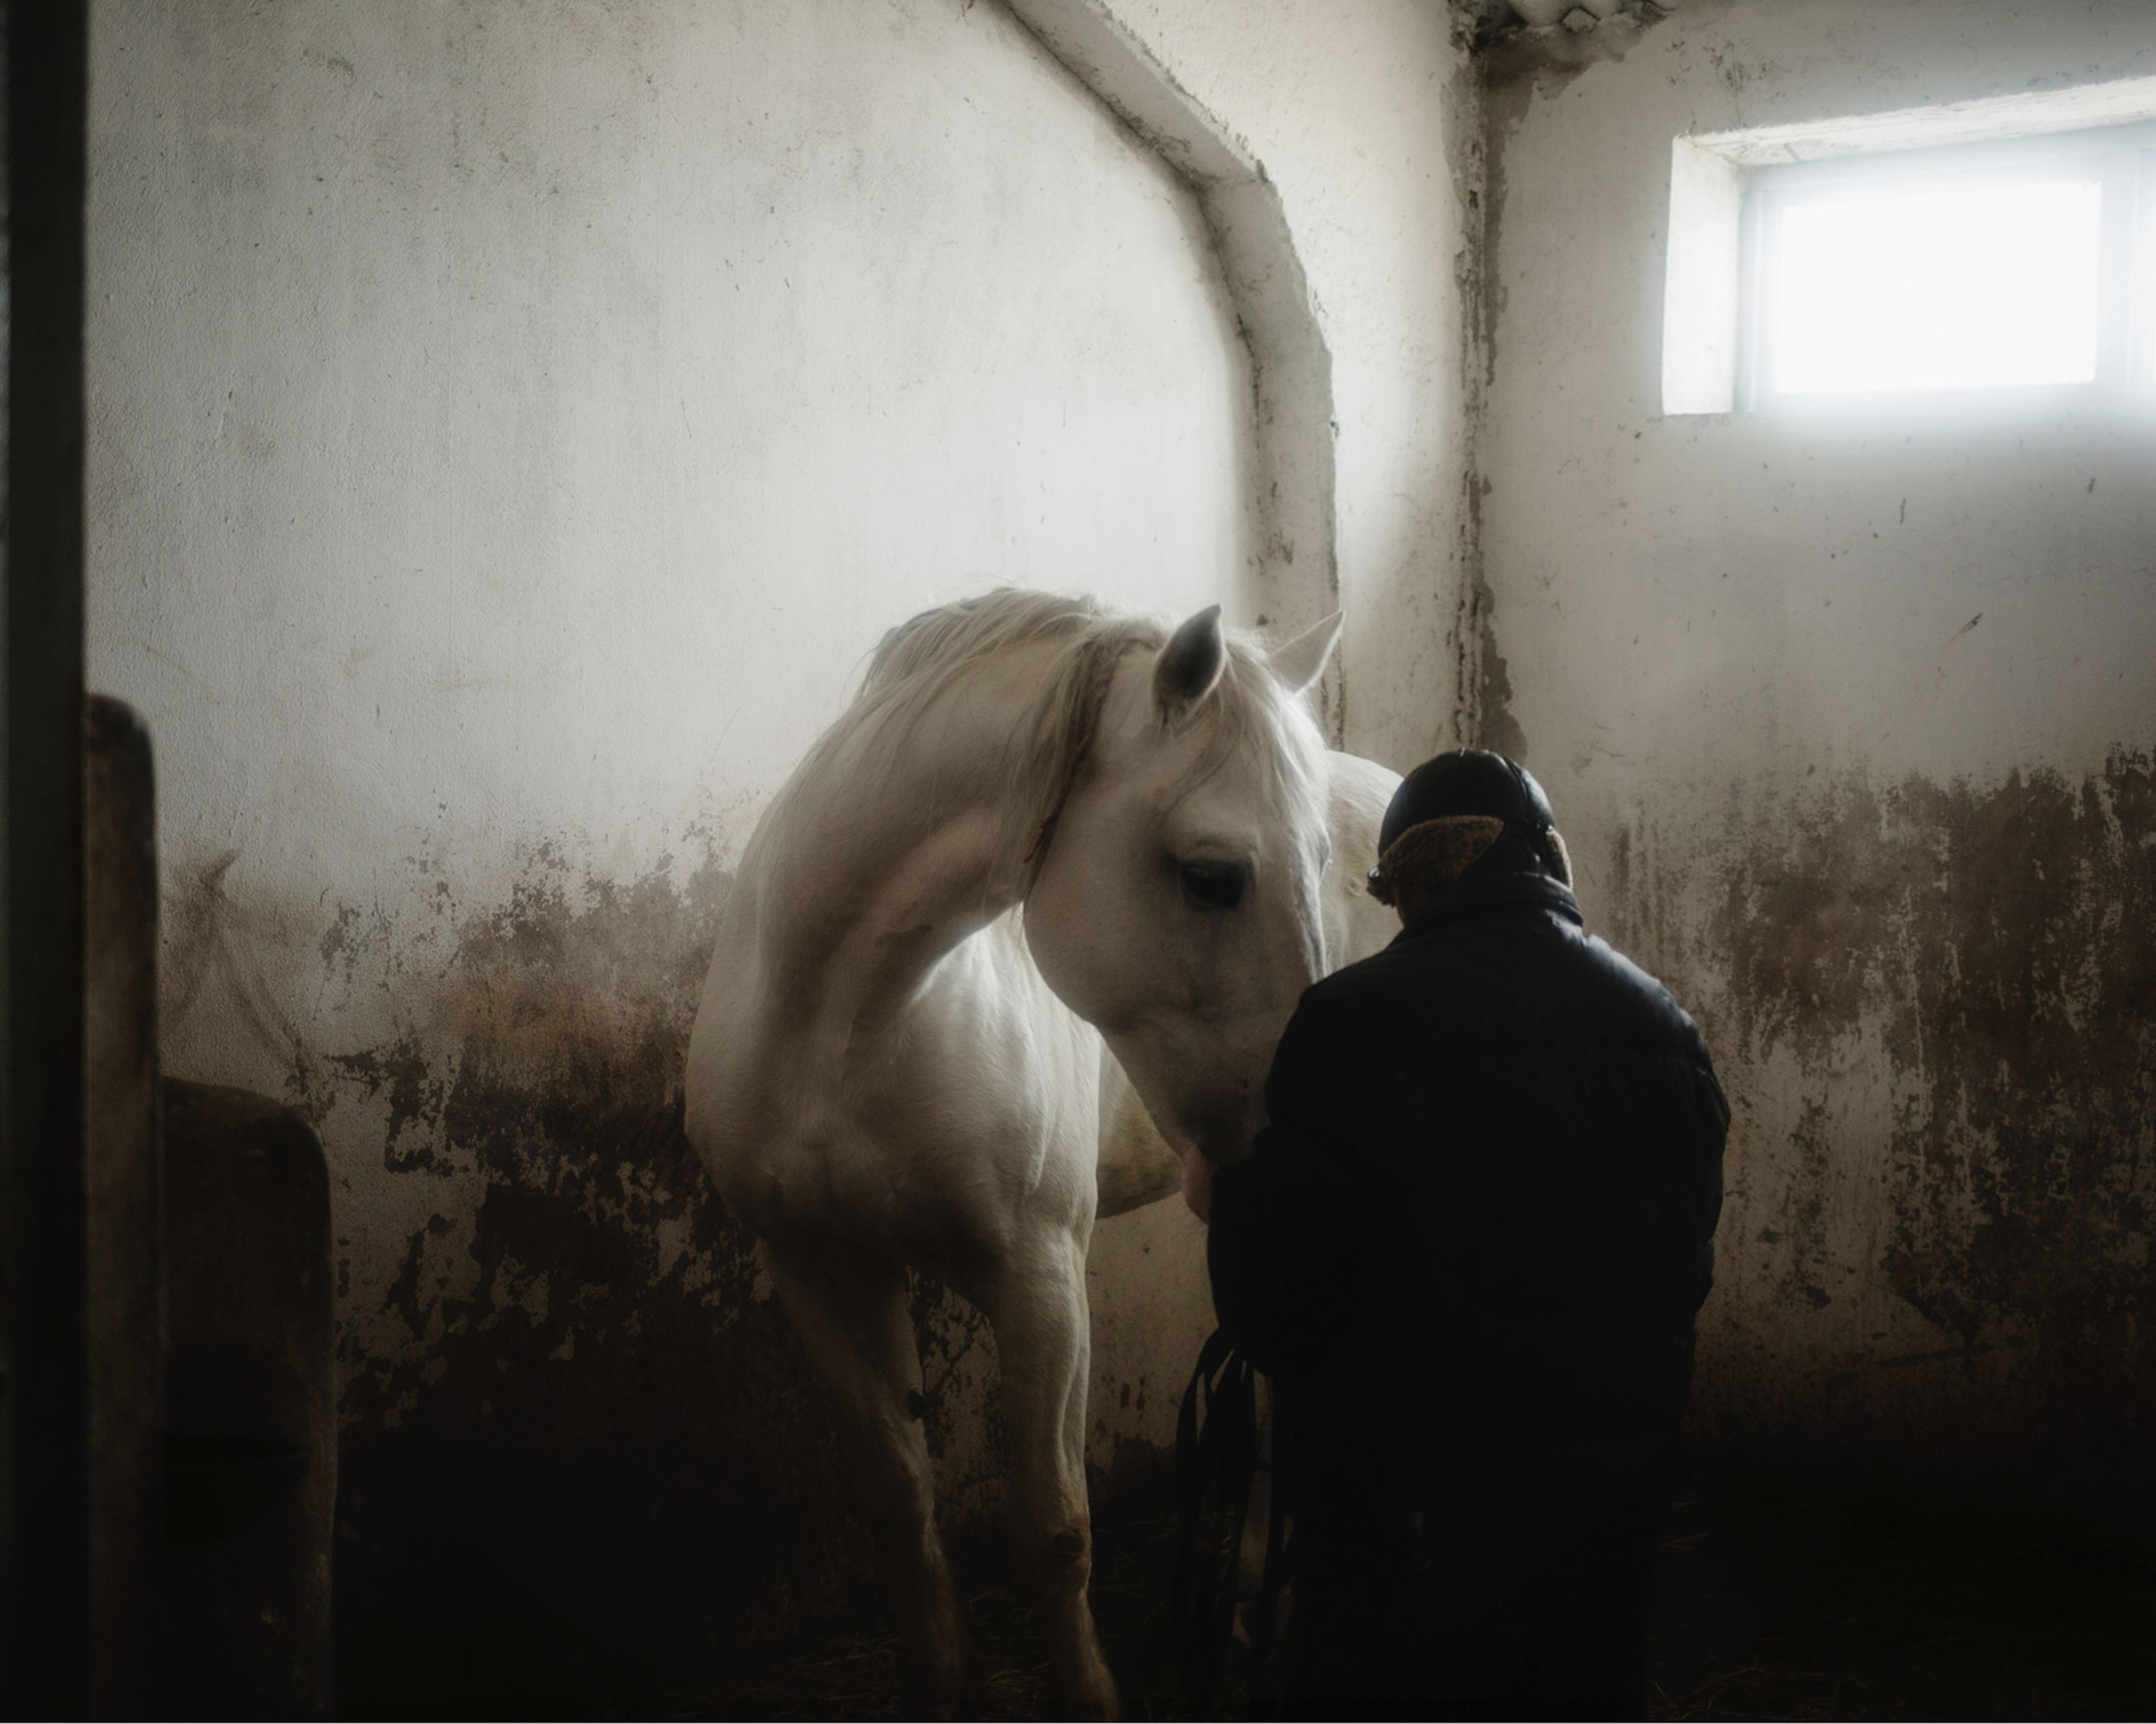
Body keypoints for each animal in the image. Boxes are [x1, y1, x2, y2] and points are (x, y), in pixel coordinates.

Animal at [684, 590, 1399, 1716]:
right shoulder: (820, 1270)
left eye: (1324, 867)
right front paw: (940, 1684)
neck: (841, 1030)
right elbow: (900, 1504)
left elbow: (1056, 1531)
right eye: (1212, 879)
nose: (1300, 1140)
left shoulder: (1039, 1279)